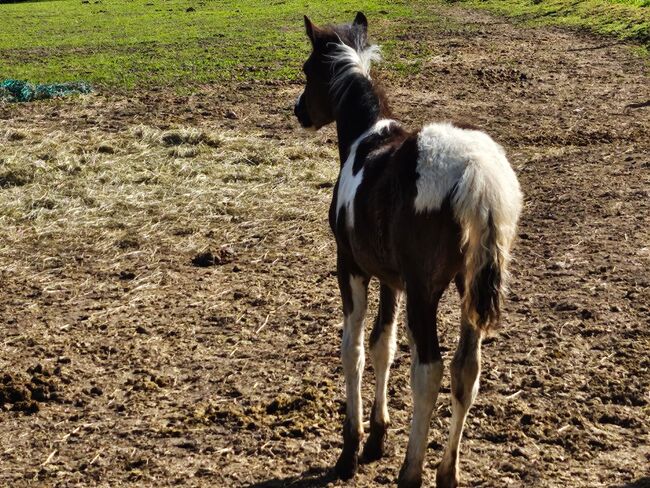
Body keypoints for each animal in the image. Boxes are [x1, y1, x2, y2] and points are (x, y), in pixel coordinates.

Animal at [294, 12, 520, 488]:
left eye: (308, 70)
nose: (299, 110)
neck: (366, 141)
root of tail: (476, 170)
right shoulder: (391, 279)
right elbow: (385, 344)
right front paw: (378, 437)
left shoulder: (352, 267)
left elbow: (355, 348)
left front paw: (351, 447)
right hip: (465, 287)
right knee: (465, 370)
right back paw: (447, 472)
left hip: (424, 292)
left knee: (429, 371)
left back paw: (411, 472)